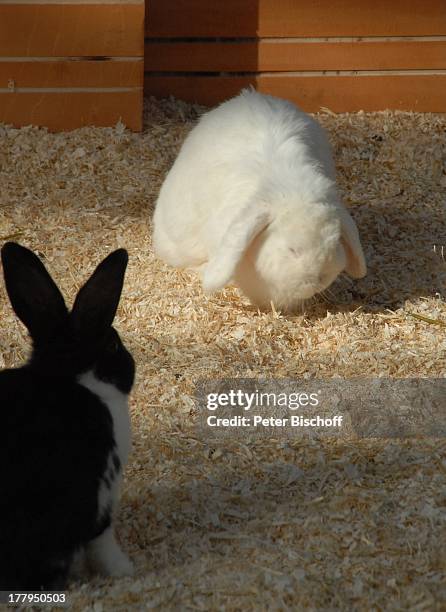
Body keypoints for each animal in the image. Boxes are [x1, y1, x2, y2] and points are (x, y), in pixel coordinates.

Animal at [0, 241, 136, 592]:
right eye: (113, 346)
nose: (131, 365)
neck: (69, 377)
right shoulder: (102, 492)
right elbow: (103, 540)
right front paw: (124, 570)